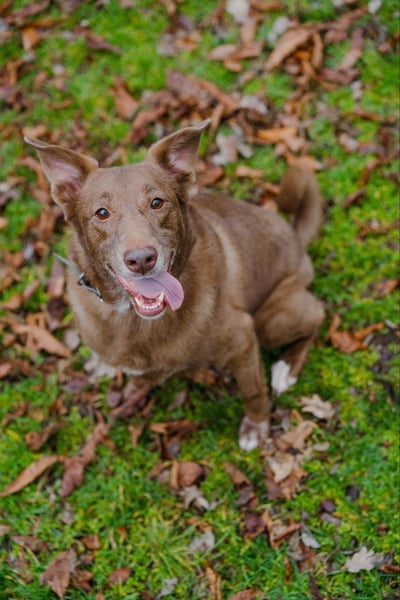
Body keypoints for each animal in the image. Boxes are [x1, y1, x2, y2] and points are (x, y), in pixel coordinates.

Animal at [25, 120, 325, 450]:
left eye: (157, 202)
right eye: (101, 213)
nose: (141, 259)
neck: (133, 319)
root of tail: (297, 238)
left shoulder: (244, 338)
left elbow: (253, 391)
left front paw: (256, 426)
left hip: (270, 320)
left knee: (318, 312)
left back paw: (287, 367)